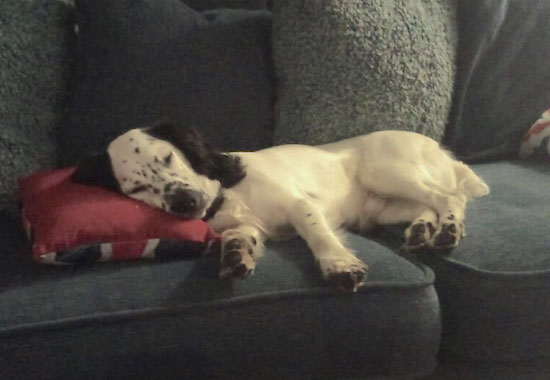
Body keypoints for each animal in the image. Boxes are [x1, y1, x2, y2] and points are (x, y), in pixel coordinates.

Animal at [73, 123, 492, 292]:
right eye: (138, 188)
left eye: (167, 157)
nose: (185, 202)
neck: (229, 194)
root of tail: (437, 147)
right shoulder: (248, 227)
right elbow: (239, 237)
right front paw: (235, 256)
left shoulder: (298, 205)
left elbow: (318, 236)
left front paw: (339, 265)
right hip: (385, 206)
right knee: (432, 204)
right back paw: (423, 232)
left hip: (386, 172)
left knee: (450, 198)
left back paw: (447, 231)